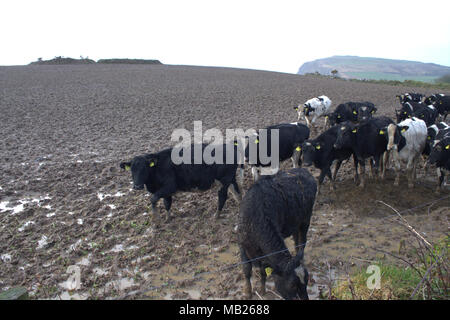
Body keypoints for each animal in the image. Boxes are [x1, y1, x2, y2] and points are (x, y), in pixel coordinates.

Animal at [237, 168, 314, 300]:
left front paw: (262, 290)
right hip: (296, 223)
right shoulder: (242, 243)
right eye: (293, 285)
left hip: (305, 221)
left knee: (302, 243)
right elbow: (247, 269)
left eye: (307, 281)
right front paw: (247, 292)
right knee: (297, 241)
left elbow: (263, 271)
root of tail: (303, 170)